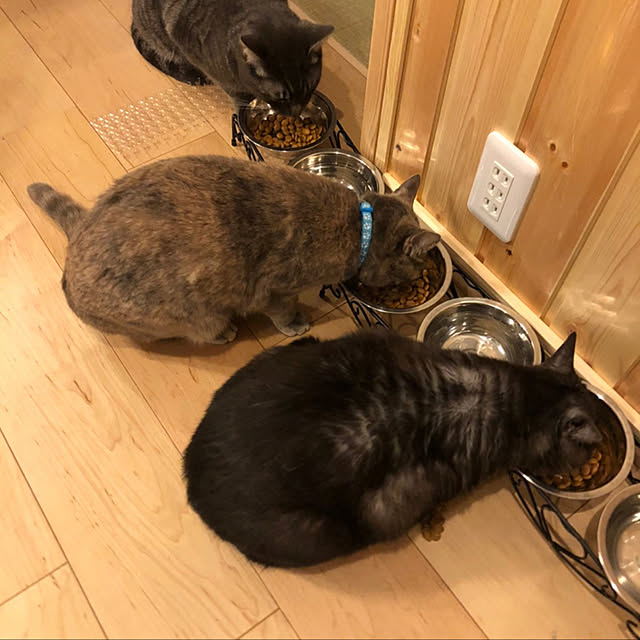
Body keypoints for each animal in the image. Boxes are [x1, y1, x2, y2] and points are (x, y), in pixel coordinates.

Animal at [27, 155, 438, 344]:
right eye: (411, 271)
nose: (413, 280)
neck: (360, 224)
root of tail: (79, 230)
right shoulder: (276, 290)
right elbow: (283, 311)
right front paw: (296, 325)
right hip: (187, 315)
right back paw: (223, 333)